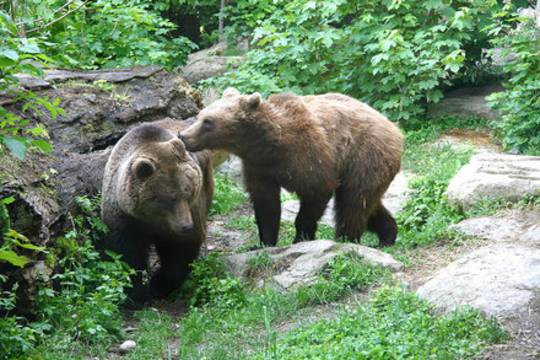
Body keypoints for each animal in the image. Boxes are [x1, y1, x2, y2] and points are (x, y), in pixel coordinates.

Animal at [101, 119, 213, 310]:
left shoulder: (189, 212)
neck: (151, 219)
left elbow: (180, 249)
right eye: (168, 198)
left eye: (188, 191)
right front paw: (135, 295)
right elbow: (126, 253)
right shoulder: (124, 217)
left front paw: (158, 285)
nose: (186, 226)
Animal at [179, 88, 402, 248]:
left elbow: (316, 191)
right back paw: (387, 235)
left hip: (365, 155)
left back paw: (345, 238)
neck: (268, 145)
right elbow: (266, 204)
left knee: (353, 202)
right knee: (367, 202)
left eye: (208, 121)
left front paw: (301, 237)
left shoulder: (308, 155)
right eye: (201, 115)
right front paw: (264, 243)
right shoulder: (259, 167)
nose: (183, 135)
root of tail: (395, 129)